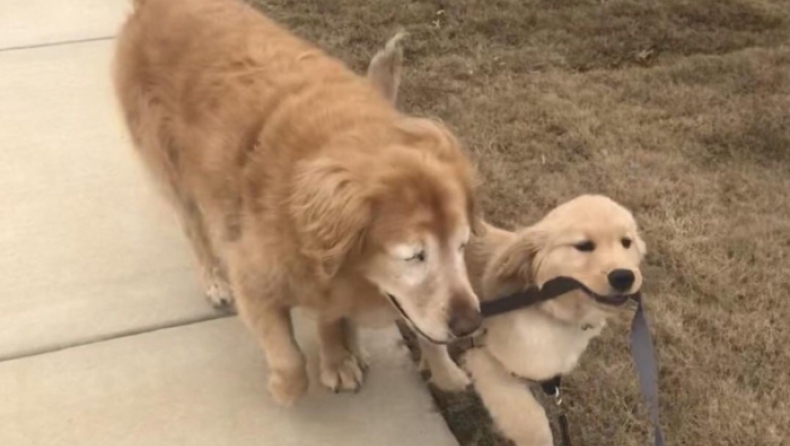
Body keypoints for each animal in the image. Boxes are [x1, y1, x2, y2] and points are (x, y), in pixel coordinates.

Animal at [111, 0, 482, 406]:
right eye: (414, 256)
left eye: (462, 245)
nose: (470, 325)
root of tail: (153, 7)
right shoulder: (253, 276)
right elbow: (290, 360)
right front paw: (288, 385)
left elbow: (332, 319)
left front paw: (344, 356)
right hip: (173, 170)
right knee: (194, 229)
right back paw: (214, 281)